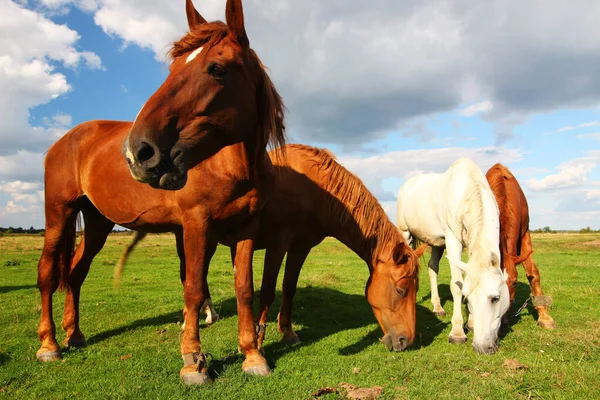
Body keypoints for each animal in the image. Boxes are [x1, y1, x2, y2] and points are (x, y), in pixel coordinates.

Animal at [37, 0, 286, 388]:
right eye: (172, 68)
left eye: (217, 68)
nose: (138, 152)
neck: (229, 166)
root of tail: (67, 139)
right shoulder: (196, 224)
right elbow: (193, 287)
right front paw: (193, 361)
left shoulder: (245, 228)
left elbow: (245, 288)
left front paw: (252, 355)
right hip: (58, 214)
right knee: (49, 273)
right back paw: (49, 345)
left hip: (97, 223)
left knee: (76, 274)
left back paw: (74, 335)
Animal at [117, 145, 426, 352]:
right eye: (401, 289)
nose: (406, 341)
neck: (314, 190)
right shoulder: (278, 243)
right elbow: (267, 289)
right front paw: (258, 340)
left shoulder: (300, 247)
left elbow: (288, 287)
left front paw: (287, 332)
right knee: (191, 276)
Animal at [396, 158, 508, 354]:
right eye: (467, 298)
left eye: (496, 298)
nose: (481, 347)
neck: (468, 191)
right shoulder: (453, 240)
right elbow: (456, 285)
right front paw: (457, 332)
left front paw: (471, 323)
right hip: (406, 234)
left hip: (437, 243)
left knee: (432, 268)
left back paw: (437, 307)